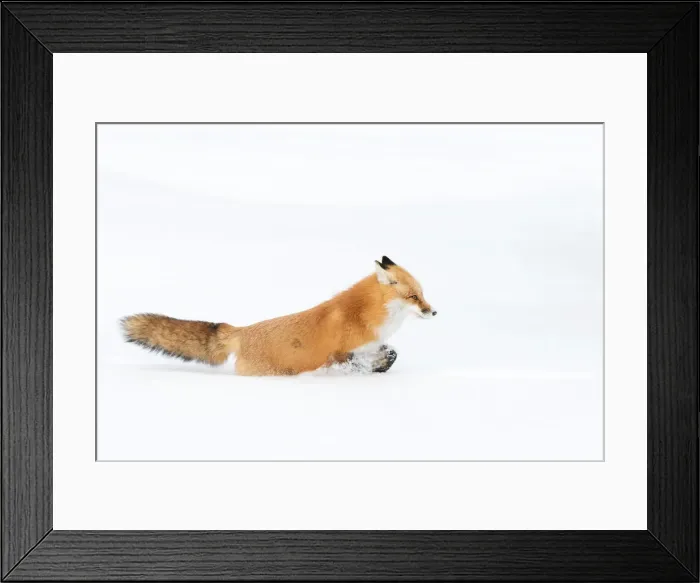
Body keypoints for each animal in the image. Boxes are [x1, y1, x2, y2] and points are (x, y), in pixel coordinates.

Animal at [121, 256, 436, 376]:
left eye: (422, 294)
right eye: (413, 297)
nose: (433, 311)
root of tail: (241, 330)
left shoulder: (373, 345)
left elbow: (391, 353)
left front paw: (381, 365)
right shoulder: (338, 353)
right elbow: (350, 363)